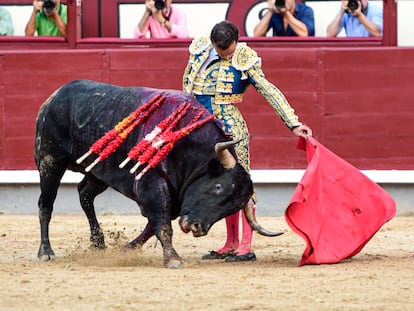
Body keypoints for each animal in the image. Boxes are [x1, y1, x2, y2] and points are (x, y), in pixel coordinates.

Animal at [35, 80, 280, 268]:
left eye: (231, 208)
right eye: (218, 187)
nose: (197, 227)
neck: (188, 146)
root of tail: (54, 96)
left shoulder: (174, 195)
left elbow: (153, 226)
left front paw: (126, 249)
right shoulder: (152, 186)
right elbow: (161, 223)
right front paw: (172, 259)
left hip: (98, 171)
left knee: (84, 194)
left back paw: (98, 243)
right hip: (50, 161)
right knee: (46, 204)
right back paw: (45, 252)